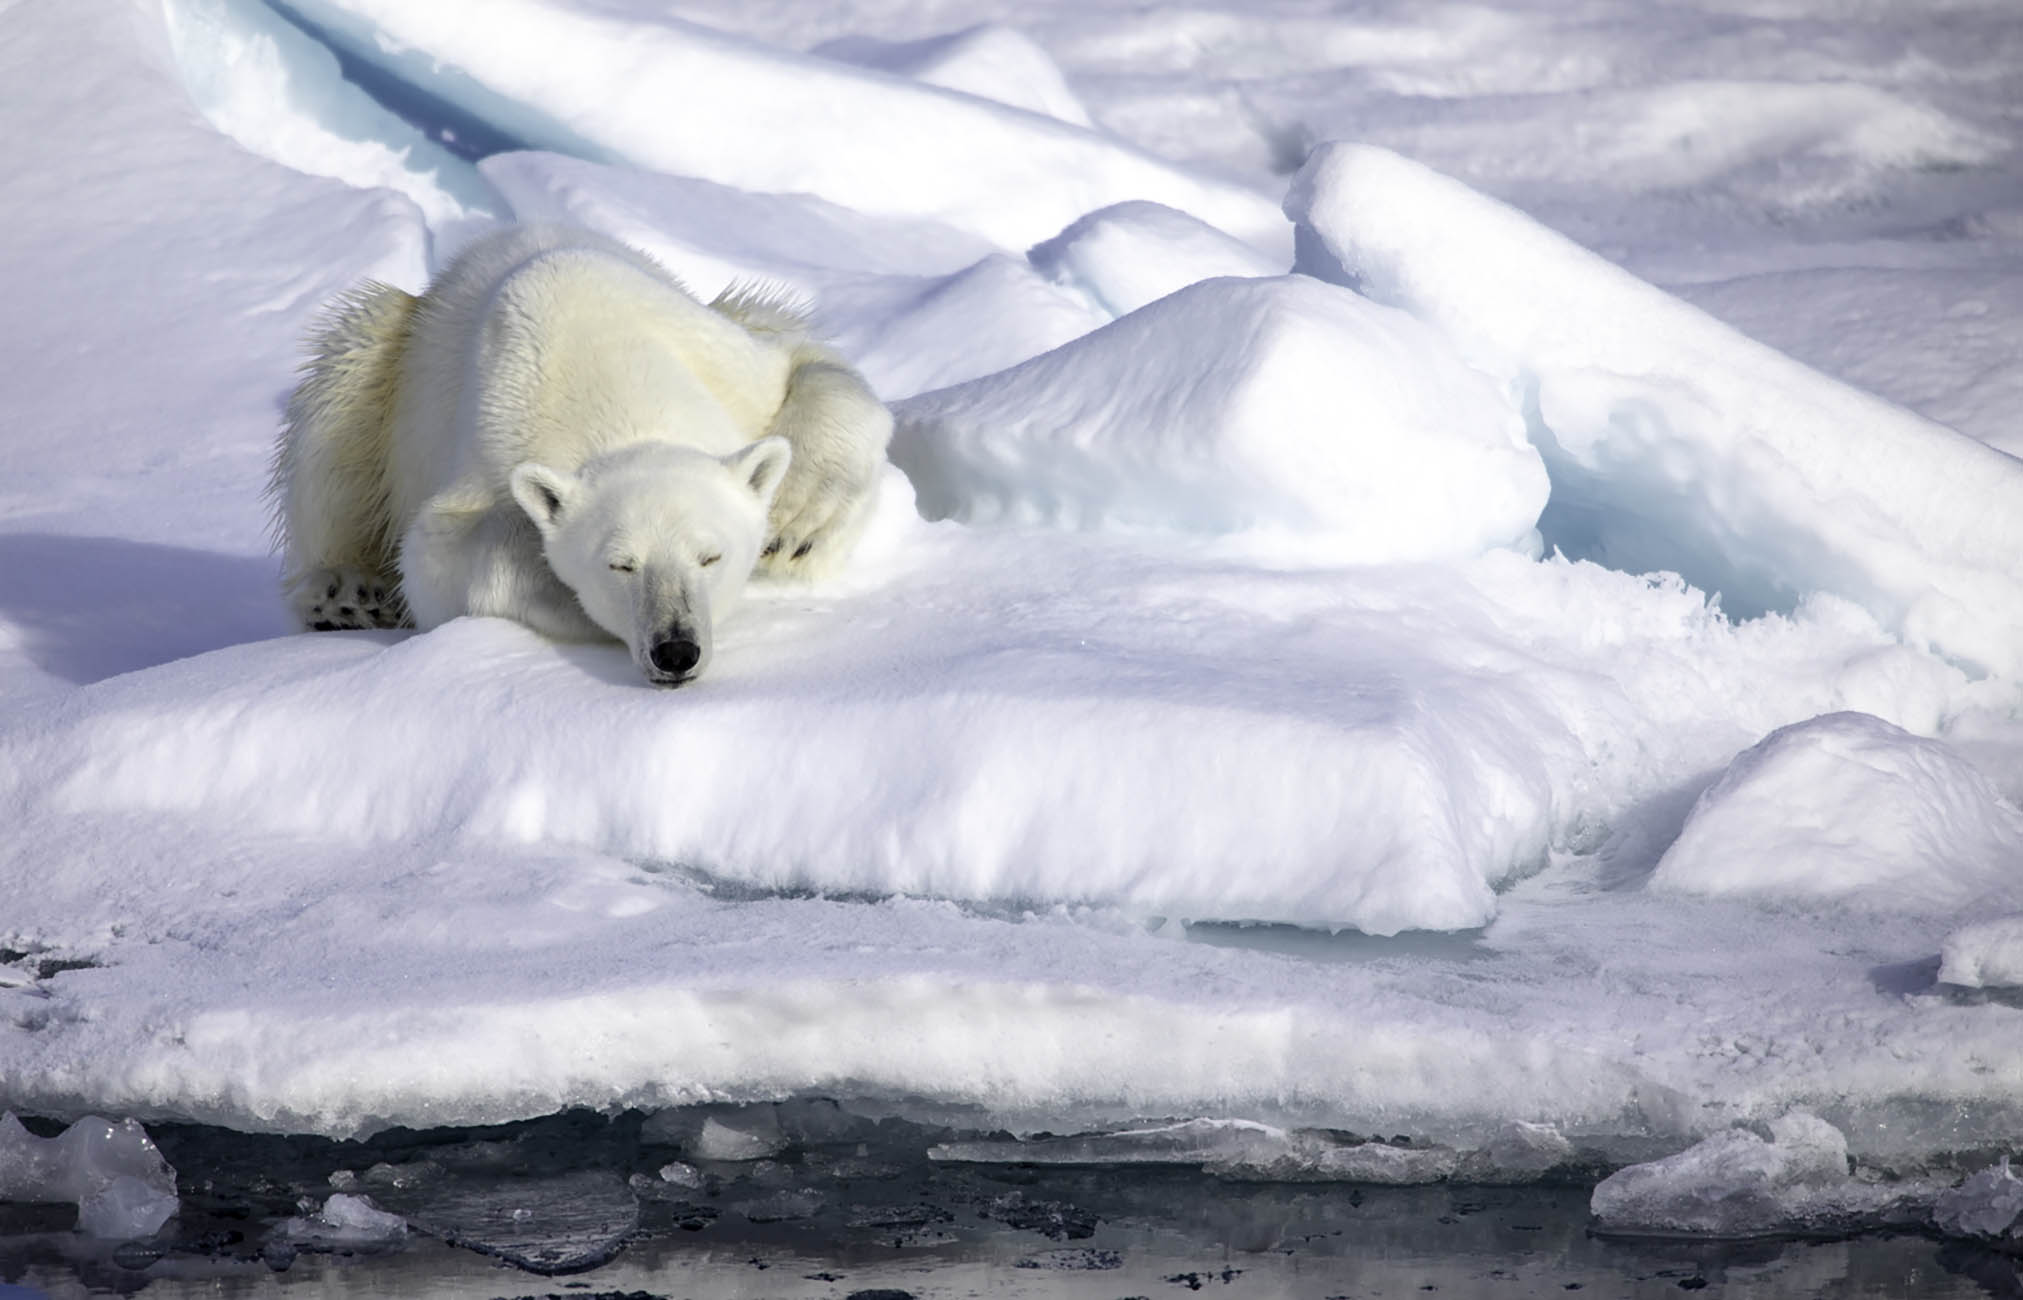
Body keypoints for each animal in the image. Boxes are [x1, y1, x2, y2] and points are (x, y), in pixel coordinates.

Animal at [271, 223, 894, 691]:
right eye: (620, 565)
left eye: (710, 557)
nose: (674, 650)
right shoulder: (492, 439)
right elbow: (435, 555)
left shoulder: (715, 359)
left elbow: (808, 362)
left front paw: (797, 523)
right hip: (390, 366)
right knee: (340, 404)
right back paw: (346, 595)